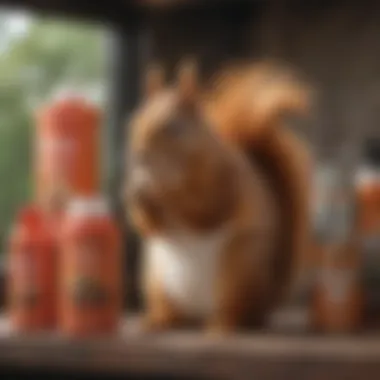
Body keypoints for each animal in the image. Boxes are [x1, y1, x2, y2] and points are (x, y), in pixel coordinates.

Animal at [124, 58, 312, 334]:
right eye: (135, 120)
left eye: (172, 128)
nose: (138, 155)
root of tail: (199, 315)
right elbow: (149, 226)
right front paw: (135, 191)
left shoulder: (225, 183)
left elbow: (205, 209)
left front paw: (162, 192)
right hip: (155, 281)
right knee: (171, 314)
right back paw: (154, 321)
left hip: (237, 271)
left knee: (236, 313)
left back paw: (221, 327)